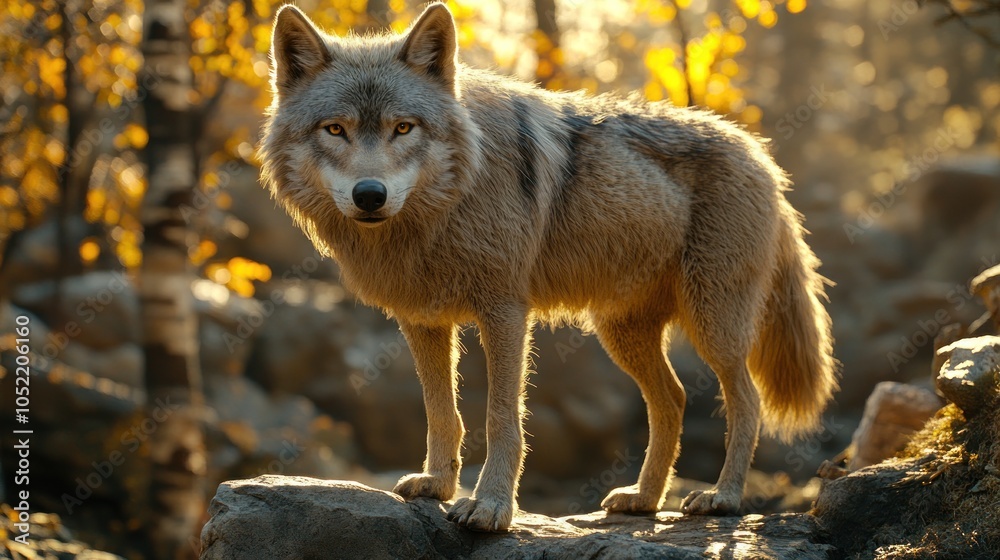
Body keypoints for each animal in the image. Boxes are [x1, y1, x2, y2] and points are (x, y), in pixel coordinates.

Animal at [260, 2, 837, 532]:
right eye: (335, 129)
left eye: (403, 127)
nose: (370, 195)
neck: (442, 208)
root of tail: (763, 156)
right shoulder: (422, 320)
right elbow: (441, 413)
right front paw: (439, 485)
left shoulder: (505, 312)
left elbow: (500, 417)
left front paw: (491, 507)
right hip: (622, 332)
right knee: (672, 399)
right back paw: (644, 499)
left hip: (712, 325)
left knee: (747, 401)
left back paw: (724, 496)